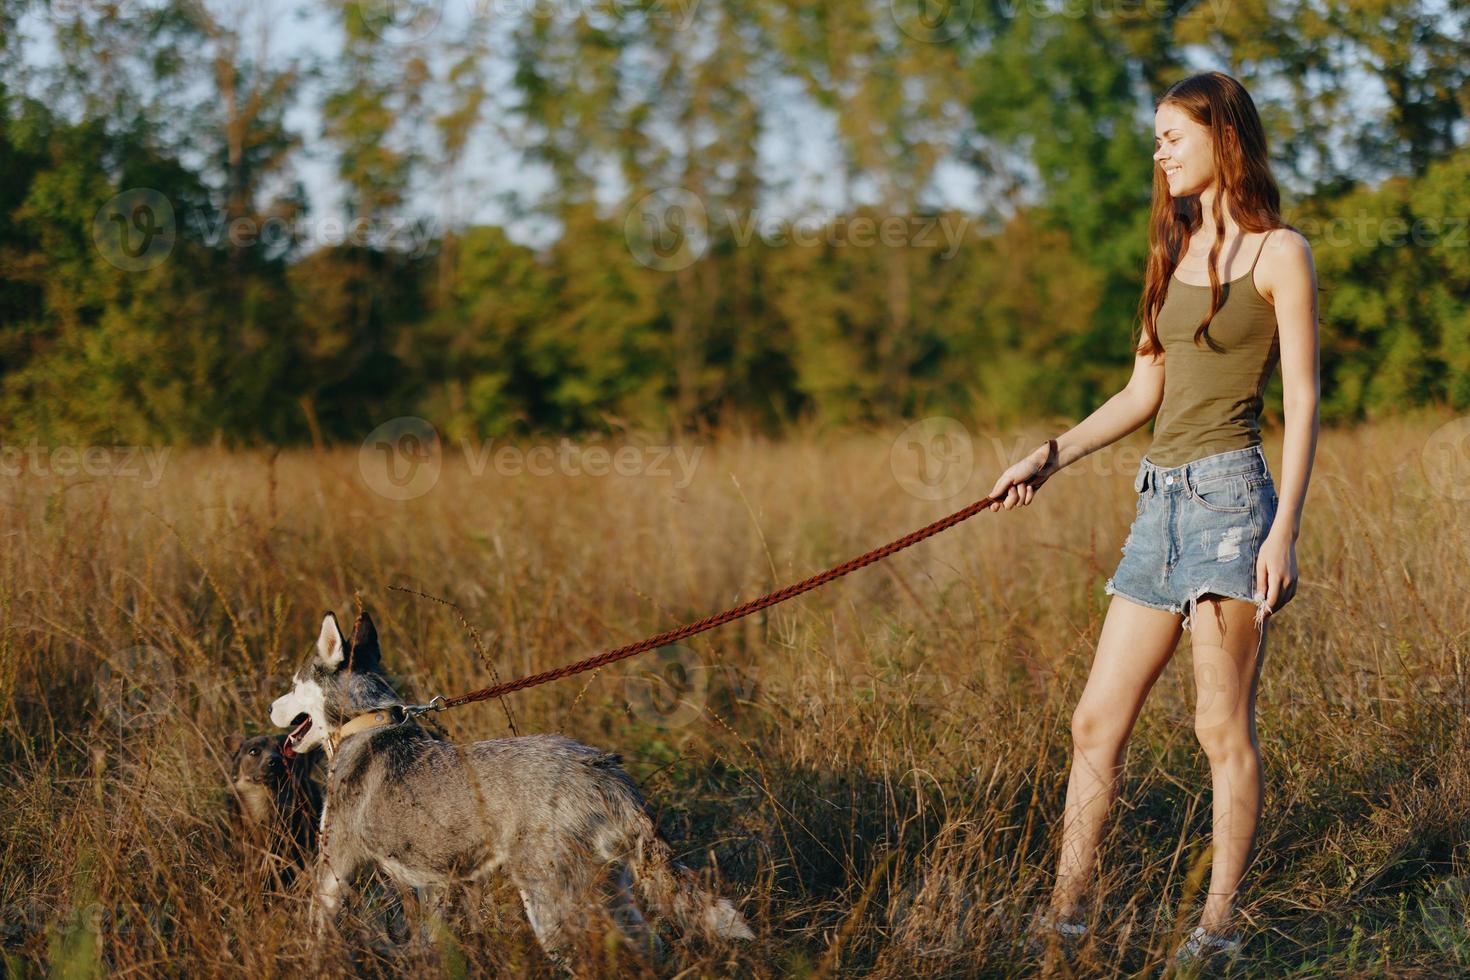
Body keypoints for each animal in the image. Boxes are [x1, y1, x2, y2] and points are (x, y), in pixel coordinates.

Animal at [269, 608, 752, 963]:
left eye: (294, 685)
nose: (272, 707)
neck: (367, 722)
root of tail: (603, 770)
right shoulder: (438, 884)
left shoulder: (335, 865)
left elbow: (317, 927)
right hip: (613, 887)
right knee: (651, 945)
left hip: (551, 903)